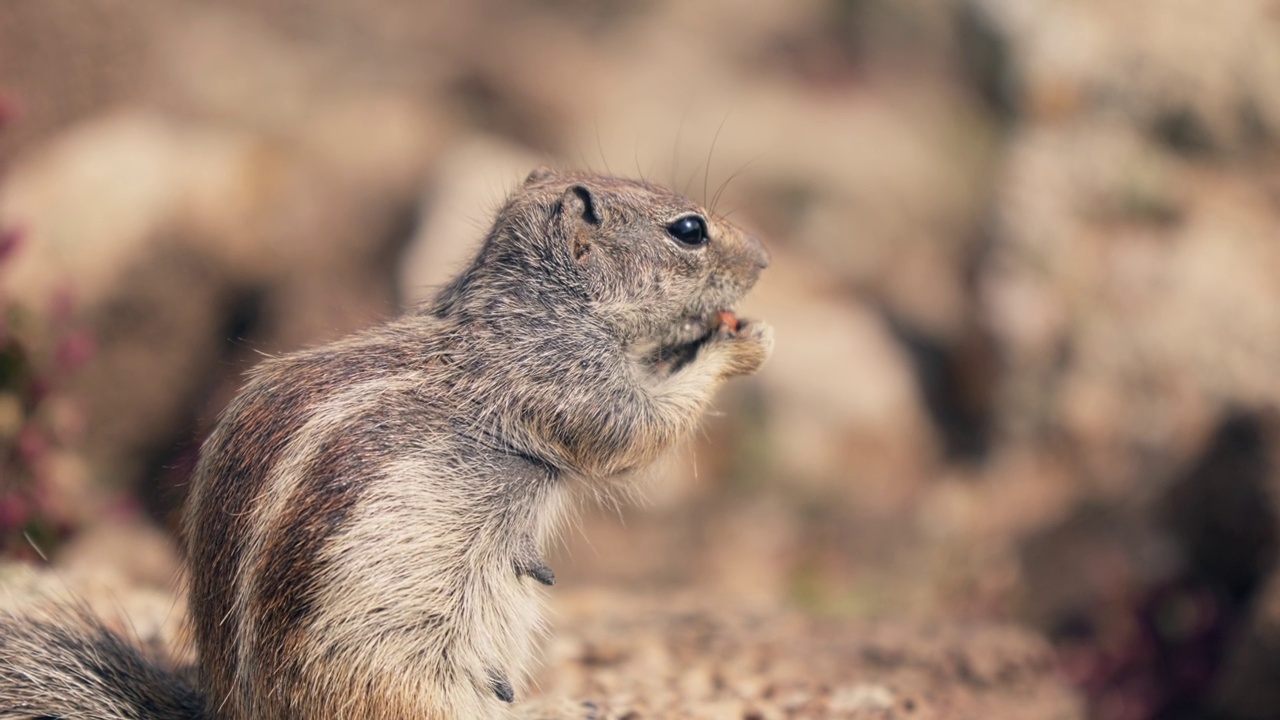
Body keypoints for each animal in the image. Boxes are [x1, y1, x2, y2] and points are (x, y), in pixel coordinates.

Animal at [0, 166, 768, 712]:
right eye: (690, 230)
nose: (763, 260)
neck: (526, 305)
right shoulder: (567, 378)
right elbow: (639, 430)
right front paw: (740, 343)